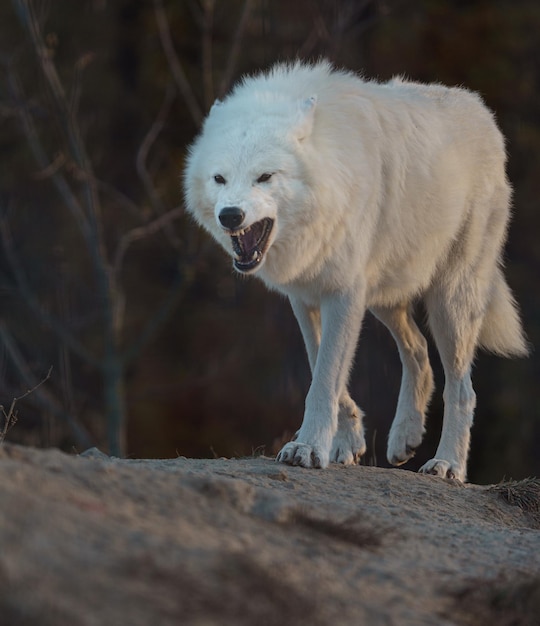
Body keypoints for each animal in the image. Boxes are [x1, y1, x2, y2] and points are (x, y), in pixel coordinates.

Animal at [185, 59, 528, 478]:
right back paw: (404, 439)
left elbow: (325, 377)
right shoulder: (306, 295)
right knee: (419, 352)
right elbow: (320, 364)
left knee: (462, 389)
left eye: (265, 176)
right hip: (383, 297)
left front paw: (307, 447)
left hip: (450, 302)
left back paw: (447, 464)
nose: (230, 215)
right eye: (219, 178)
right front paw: (346, 442)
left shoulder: (343, 292)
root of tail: (480, 109)